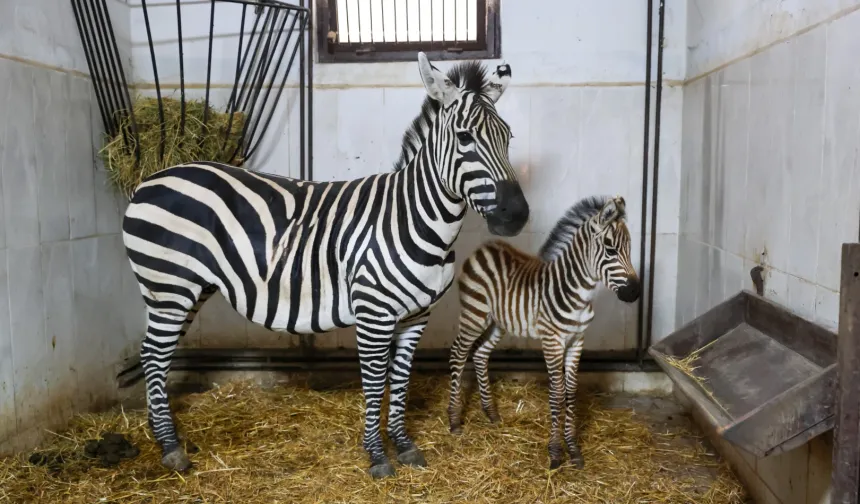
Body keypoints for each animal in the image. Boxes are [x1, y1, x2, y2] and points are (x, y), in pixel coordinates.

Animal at [121, 52, 529, 479]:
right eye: (465, 138)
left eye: (508, 137)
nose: (516, 215)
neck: (415, 218)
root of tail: (151, 178)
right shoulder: (373, 313)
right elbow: (375, 381)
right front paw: (377, 456)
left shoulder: (417, 316)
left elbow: (401, 379)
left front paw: (404, 445)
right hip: (169, 286)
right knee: (154, 356)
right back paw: (171, 448)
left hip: (187, 289)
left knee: (155, 355)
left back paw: (159, 432)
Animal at [446, 195, 639, 470]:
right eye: (611, 250)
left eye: (629, 249)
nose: (634, 293)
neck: (577, 293)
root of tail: (485, 247)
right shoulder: (552, 341)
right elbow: (557, 394)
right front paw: (556, 452)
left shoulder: (577, 340)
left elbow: (571, 392)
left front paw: (573, 449)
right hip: (474, 315)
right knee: (458, 354)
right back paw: (454, 420)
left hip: (498, 322)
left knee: (480, 354)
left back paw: (491, 413)